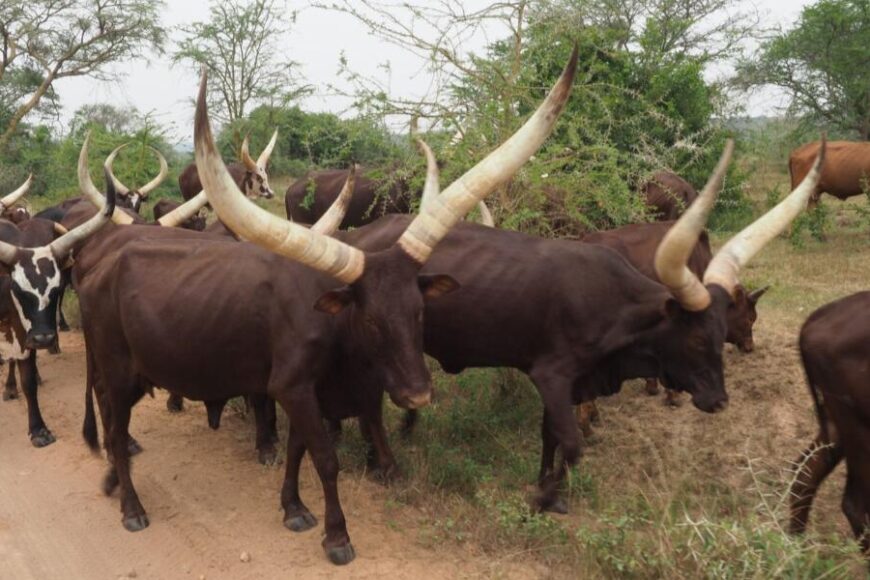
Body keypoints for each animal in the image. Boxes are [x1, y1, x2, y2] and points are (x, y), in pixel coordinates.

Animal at [0, 173, 116, 446]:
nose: (44, 338)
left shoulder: (23, 328)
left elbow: (28, 378)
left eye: (55, 289)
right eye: (18, 288)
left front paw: (38, 429)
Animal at [75, 55, 575, 566]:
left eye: (420, 312)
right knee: (115, 430)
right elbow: (325, 460)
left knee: (115, 430)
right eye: (371, 319)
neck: (334, 329)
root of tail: (98, 269)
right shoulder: (292, 388)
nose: (418, 395)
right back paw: (132, 507)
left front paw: (294, 508)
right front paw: (337, 536)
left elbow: (299, 451)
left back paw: (113, 482)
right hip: (116, 371)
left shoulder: (308, 392)